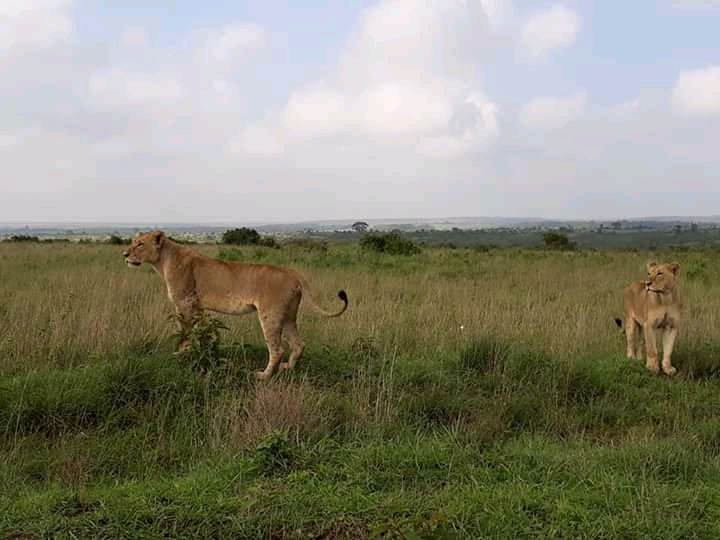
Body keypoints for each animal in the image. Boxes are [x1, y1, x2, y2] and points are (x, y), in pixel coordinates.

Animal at [122, 231, 348, 380]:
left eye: (140, 244)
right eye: (133, 242)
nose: (125, 255)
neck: (162, 261)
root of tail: (293, 273)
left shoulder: (185, 303)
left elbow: (185, 332)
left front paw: (181, 354)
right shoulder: (197, 307)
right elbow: (197, 332)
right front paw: (192, 350)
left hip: (270, 314)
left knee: (277, 349)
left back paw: (264, 376)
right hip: (289, 316)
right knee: (298, 344)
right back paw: (288, 369)